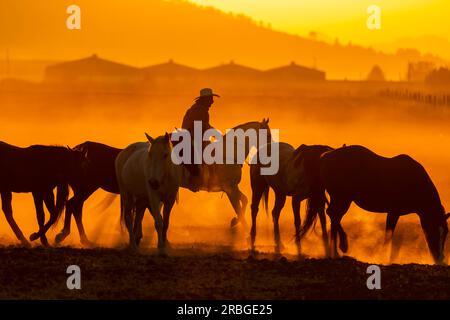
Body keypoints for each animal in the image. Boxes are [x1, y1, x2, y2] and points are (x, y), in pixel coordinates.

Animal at [302, 146, 450, 264]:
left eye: (446, 233)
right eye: (434, 230)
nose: (440, 259)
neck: (414, 182)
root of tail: (325, 157)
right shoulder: (393, 212)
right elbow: (388, 235)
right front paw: (384, 257)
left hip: (341, 199)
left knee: (334, 216)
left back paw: (335, 251)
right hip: (342, 198)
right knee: (333, 214)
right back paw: (339, 249)